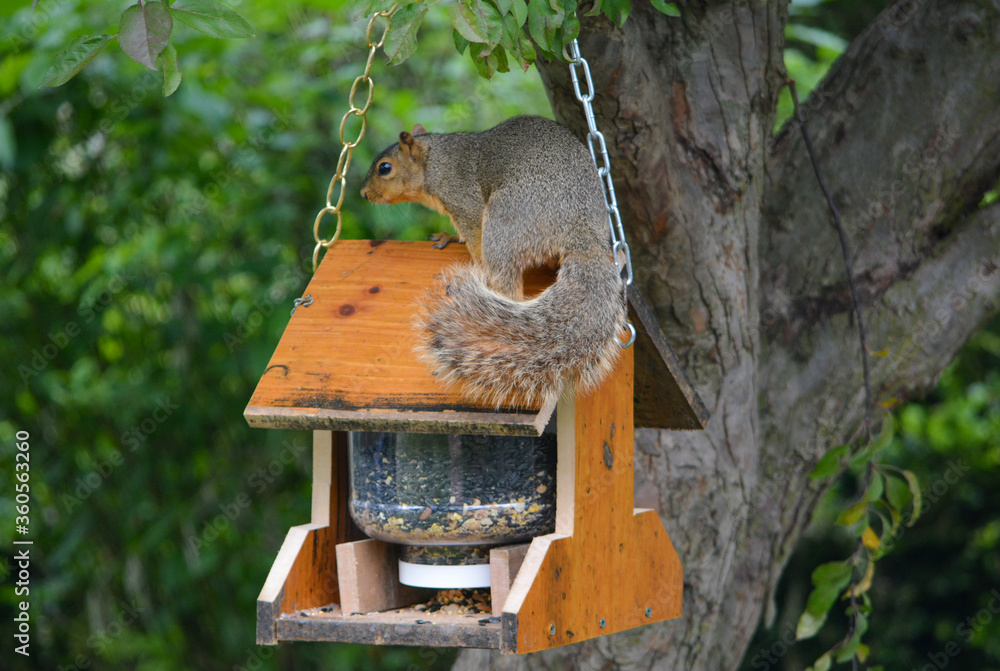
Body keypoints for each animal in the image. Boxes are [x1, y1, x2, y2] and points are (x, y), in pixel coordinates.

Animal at [360, 115, 627, 408]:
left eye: (385, 168)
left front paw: (474, 261)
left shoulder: (465, 202)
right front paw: (449, 237)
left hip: (505, 224)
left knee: (507, 284)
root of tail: (584, 239)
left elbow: (474, 235)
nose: (363, 193)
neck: (435, 163)